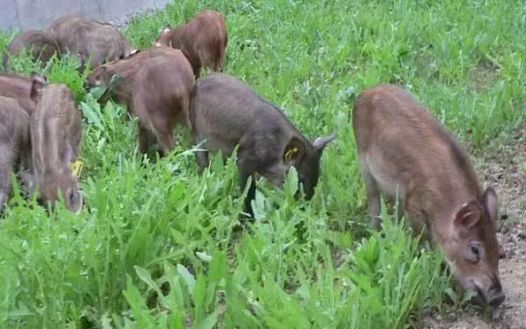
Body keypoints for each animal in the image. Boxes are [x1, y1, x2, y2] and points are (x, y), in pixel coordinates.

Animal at [192, 73, 336, 214]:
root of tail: (198, 82)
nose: (304, 209)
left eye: (318, 175)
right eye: (300, 178)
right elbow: (248, 190)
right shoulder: (245, 160)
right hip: (197, 135)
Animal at [354, 84, 508, 308]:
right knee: (373, 200)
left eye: (497, 247)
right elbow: (423, 239)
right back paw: (375, 232)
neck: (443, 203)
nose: (499, 297)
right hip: (363, 162)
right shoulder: (413, 203)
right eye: (474, 250)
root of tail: (366, 92)